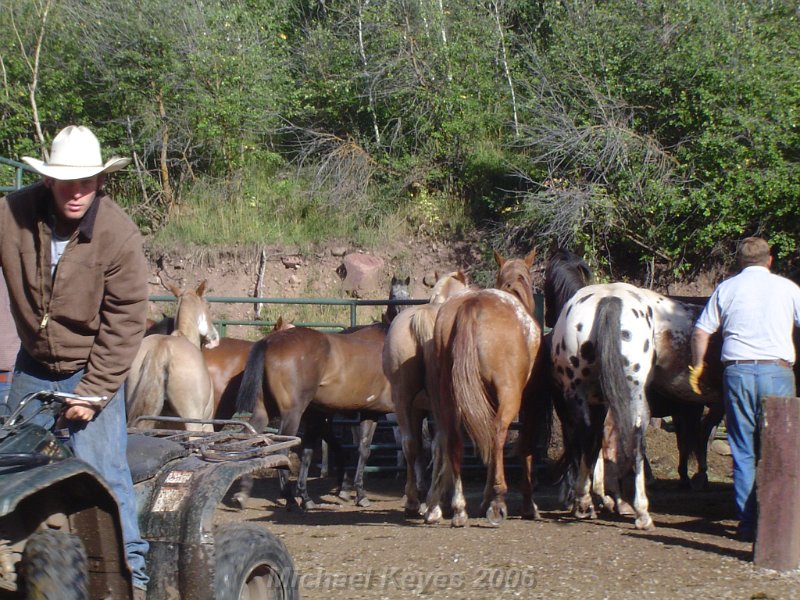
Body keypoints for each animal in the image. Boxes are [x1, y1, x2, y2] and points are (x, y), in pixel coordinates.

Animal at [380, 270, 468, 516]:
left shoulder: (419, 409)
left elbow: (420, 445)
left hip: (404, 400)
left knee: (411, 443)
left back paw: (416, 500)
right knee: (443, 443)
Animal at [422, 251, 540, 528]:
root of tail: (472, 305)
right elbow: (523, 446)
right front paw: (524, 504)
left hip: (449, 398)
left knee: (453, 441)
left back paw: (458, 509)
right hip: (509, 396)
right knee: (497, 434)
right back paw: (497, 501)